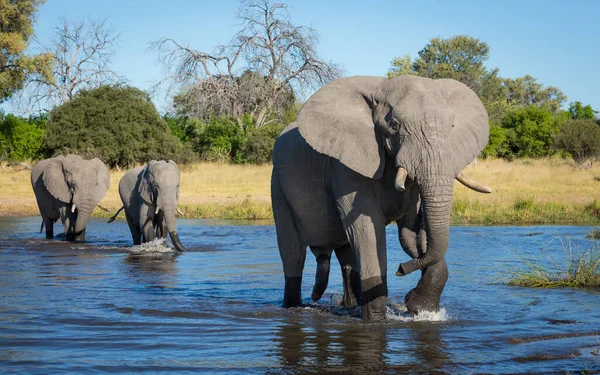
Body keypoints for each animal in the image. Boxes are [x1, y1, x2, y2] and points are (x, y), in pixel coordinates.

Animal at [272, 75, 492, 320]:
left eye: (452, 126)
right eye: (394, 126)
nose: (401, 269)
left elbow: (412, 232)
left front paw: (420, 308)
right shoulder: (346, 166)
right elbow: (368, 229)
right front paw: (377, 320)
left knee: (347, 256)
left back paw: (350, 304)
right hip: (278, 186)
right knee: (293, 254)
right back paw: (293, 306)